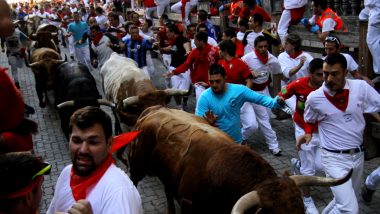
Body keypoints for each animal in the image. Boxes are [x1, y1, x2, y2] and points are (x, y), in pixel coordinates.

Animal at [128, 106, 354, 213]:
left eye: (301, 211)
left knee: (167, 190)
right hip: (136, 165)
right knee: (133, 181)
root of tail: (155, 109)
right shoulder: (188, 206)